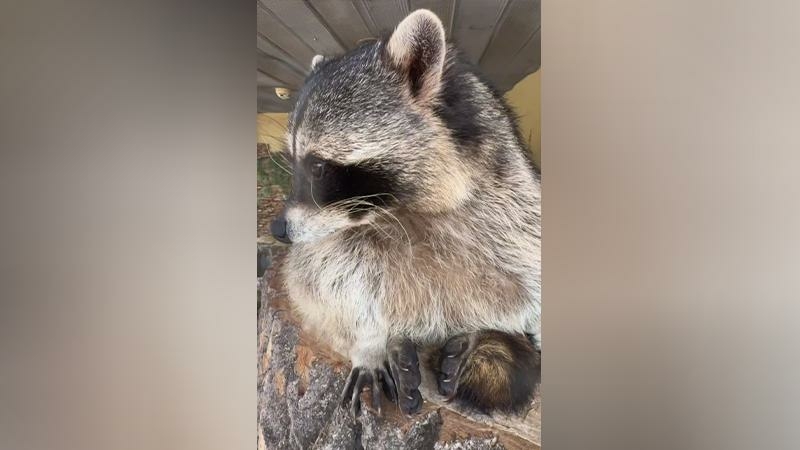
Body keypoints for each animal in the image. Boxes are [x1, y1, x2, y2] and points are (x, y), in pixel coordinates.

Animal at [272, 9, 540, 414]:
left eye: (317, 167)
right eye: (292, 160)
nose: (278, 229)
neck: (403, 210)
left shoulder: (515, 204)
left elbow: (528, 290)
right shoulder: (331, 237)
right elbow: (327, 278)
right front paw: (370, 341)